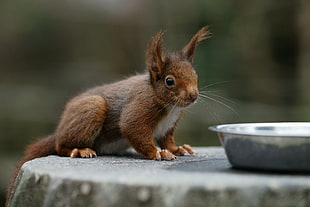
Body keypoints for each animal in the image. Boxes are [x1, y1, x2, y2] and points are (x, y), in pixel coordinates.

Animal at [5, 25, 211, 205]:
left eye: (195, 74)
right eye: (169, 81)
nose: (193, 95)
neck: (170, 106)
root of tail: (60, 130)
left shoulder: (168, 126)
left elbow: (167, 140)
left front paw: (177, 149)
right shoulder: (139, 107)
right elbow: (134, 130)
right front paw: (158, 153)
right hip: (92, 109)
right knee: (60, 145)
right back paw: (78, 150)